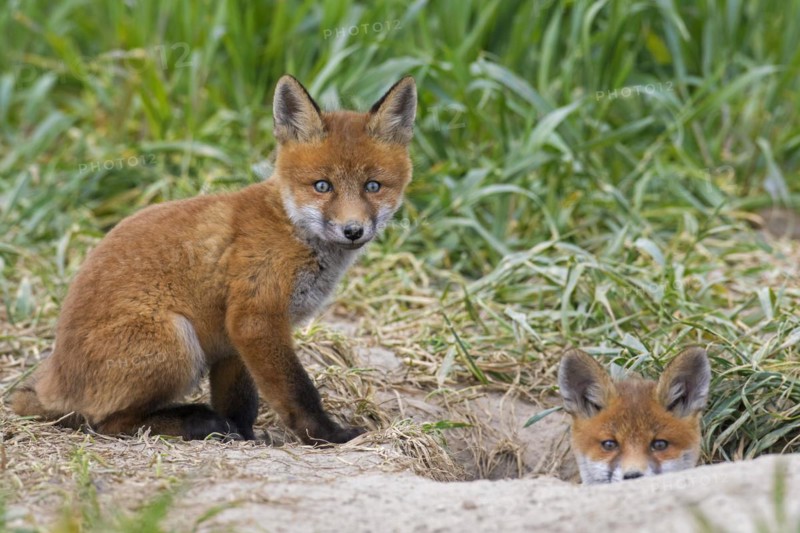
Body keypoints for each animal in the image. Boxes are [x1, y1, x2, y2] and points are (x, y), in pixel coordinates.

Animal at [11, 74, 417, 444]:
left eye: (373, 186)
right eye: (322, 186)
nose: (353, 230)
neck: (291, 228)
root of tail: (56, 377)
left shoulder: (234, 334)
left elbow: (239, 400)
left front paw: (244, 435)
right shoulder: (256, 318)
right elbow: (298, 392)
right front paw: (327, 435)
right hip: (177, 344)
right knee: (106, 423)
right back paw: (191, 422)